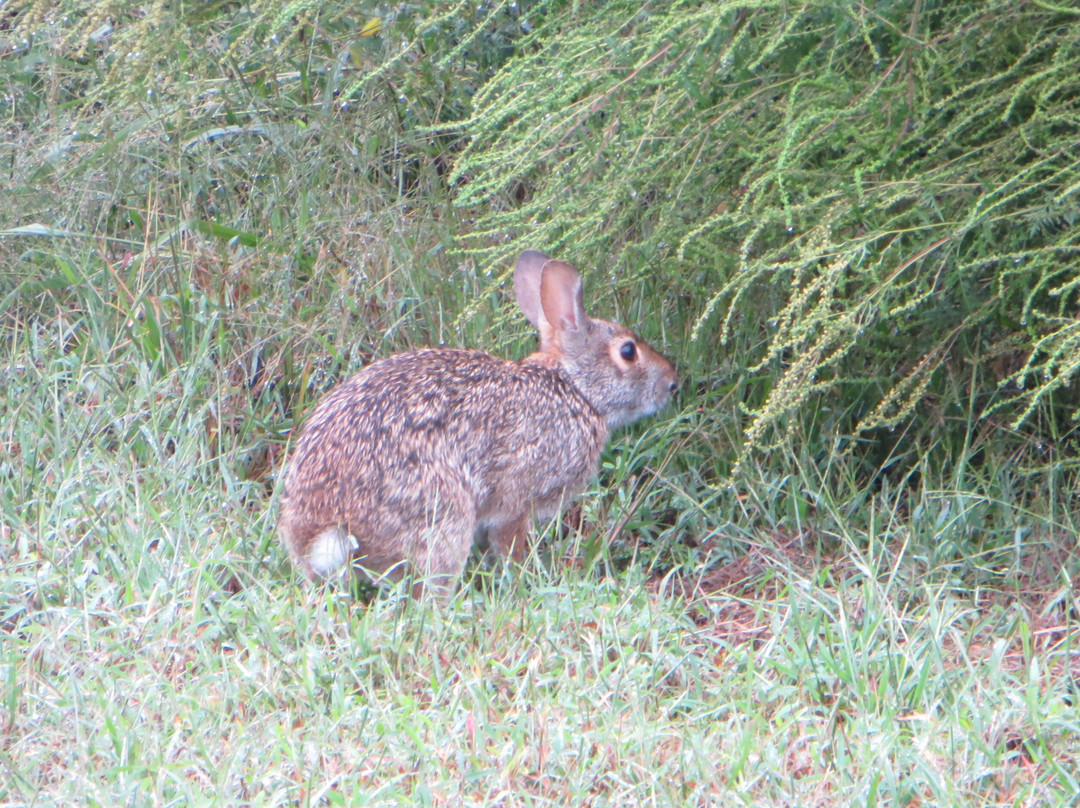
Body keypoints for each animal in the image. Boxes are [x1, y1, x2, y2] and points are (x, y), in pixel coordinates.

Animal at [282, 249, 678, 596]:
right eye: (628, 352)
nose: (672, 382)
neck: (575, 389)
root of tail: (321, 527)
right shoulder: (517, 502)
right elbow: (510, 544)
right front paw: (526, 581)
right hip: (442, 517)